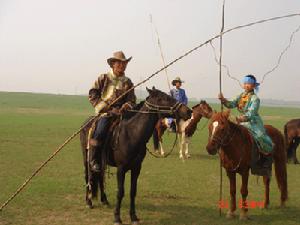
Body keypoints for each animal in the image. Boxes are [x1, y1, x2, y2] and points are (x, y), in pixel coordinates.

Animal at [81, 87, 191, 224]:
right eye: (163, 98)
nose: (188, 111)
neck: (132, 134)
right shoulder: (121, 169)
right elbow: (120, 192)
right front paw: (117, 217)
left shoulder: (136, 168)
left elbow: (133, 192)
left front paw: (133, 216)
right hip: (86, 158)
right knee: (88, 176)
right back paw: (88, 202)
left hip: (102, 162)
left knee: (100, 177)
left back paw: (104, 200)